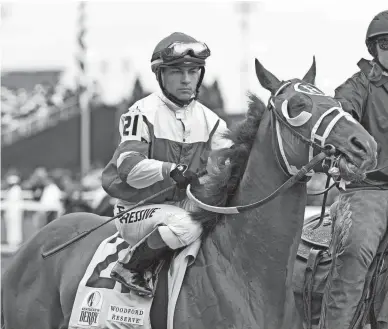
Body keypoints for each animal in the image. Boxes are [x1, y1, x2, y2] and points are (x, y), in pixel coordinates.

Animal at [2, 57, 378, 328]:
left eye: (332, 99)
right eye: (298, 105)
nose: (365, 145)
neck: (247, 277)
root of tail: (35, 244)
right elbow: (130, 159)